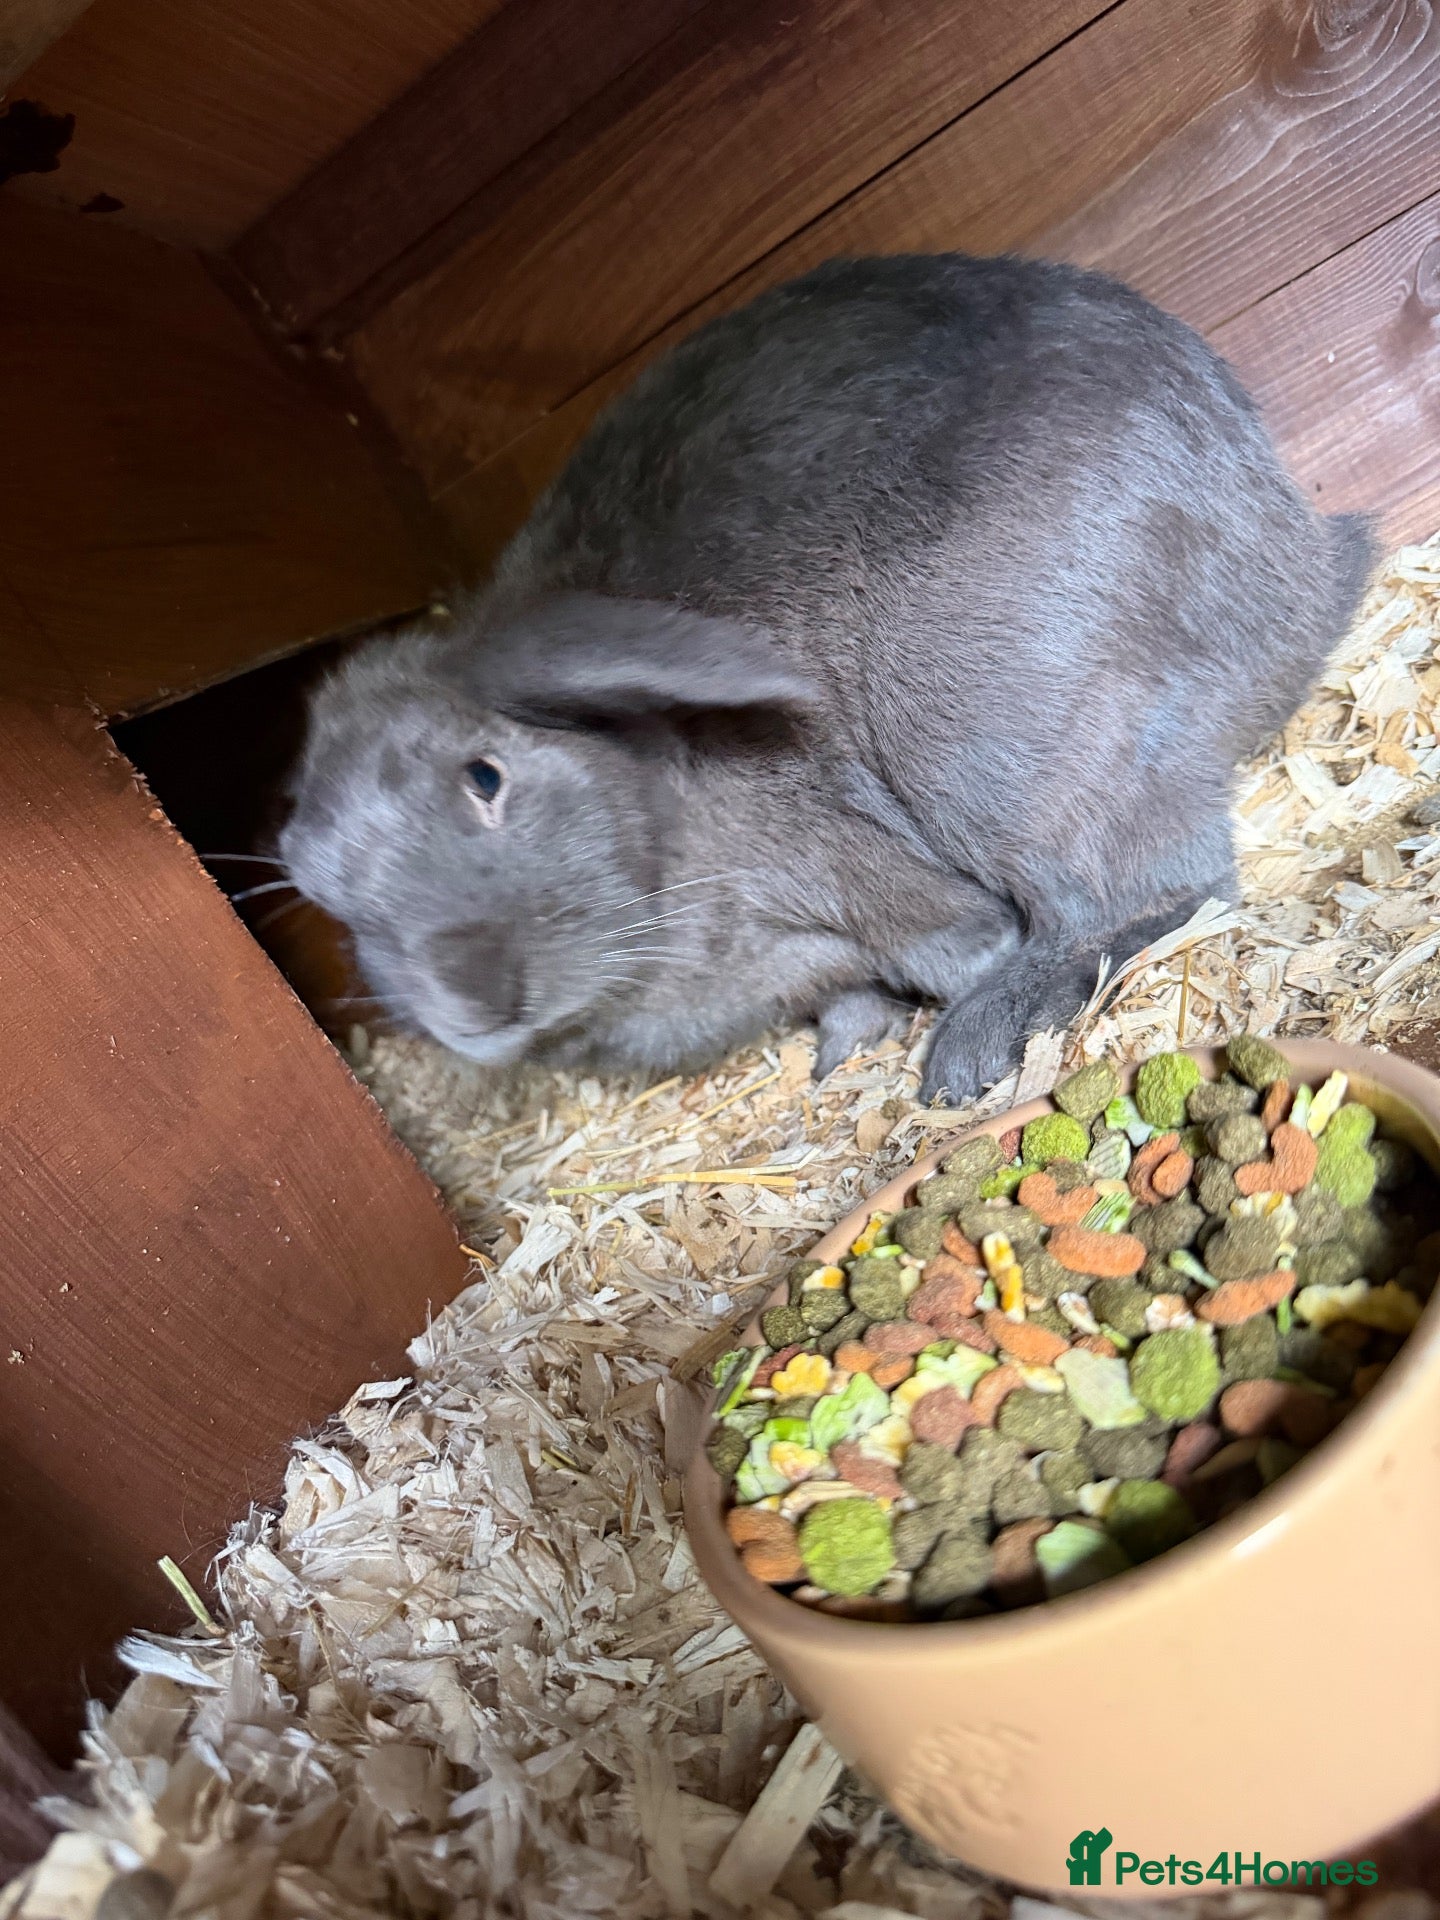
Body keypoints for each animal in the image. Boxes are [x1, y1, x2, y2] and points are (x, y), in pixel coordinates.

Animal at [281, 253, 1374, 1102]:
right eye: (317, 888)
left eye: (486, 777)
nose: (471, 1005)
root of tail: (1302, 567)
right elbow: (845, 992)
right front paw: (844, 1051)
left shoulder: (857, 882)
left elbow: (949, 937)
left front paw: (941, 1007)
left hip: (980, 738)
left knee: (1146, 891)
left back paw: (974, 1048)